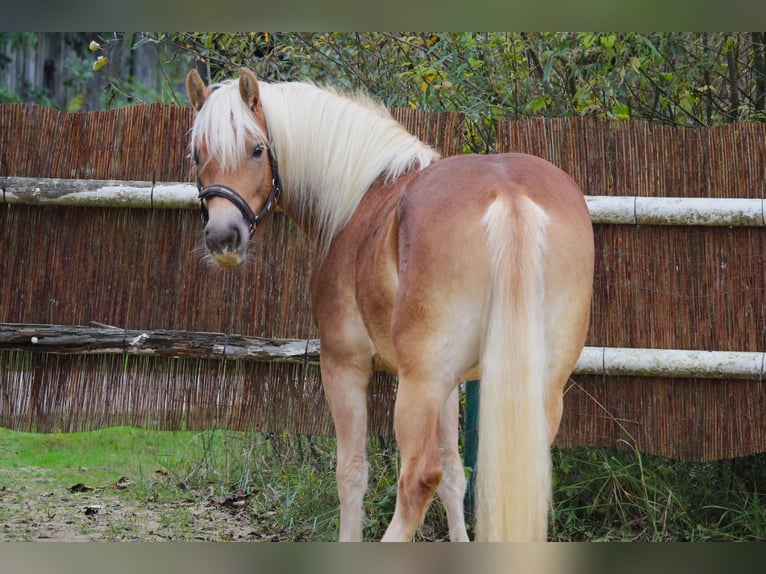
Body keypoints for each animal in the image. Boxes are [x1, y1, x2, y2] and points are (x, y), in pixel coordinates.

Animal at [184, 68, 592, 544]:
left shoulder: (344, 366)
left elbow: (351, 474)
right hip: (533, 386)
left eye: (256, 149)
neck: (360, 201)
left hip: (417, 386)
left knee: (417, 479)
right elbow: (456, 474)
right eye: (197, 153)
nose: (223, 238)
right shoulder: (451, 383)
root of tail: (509, 195)